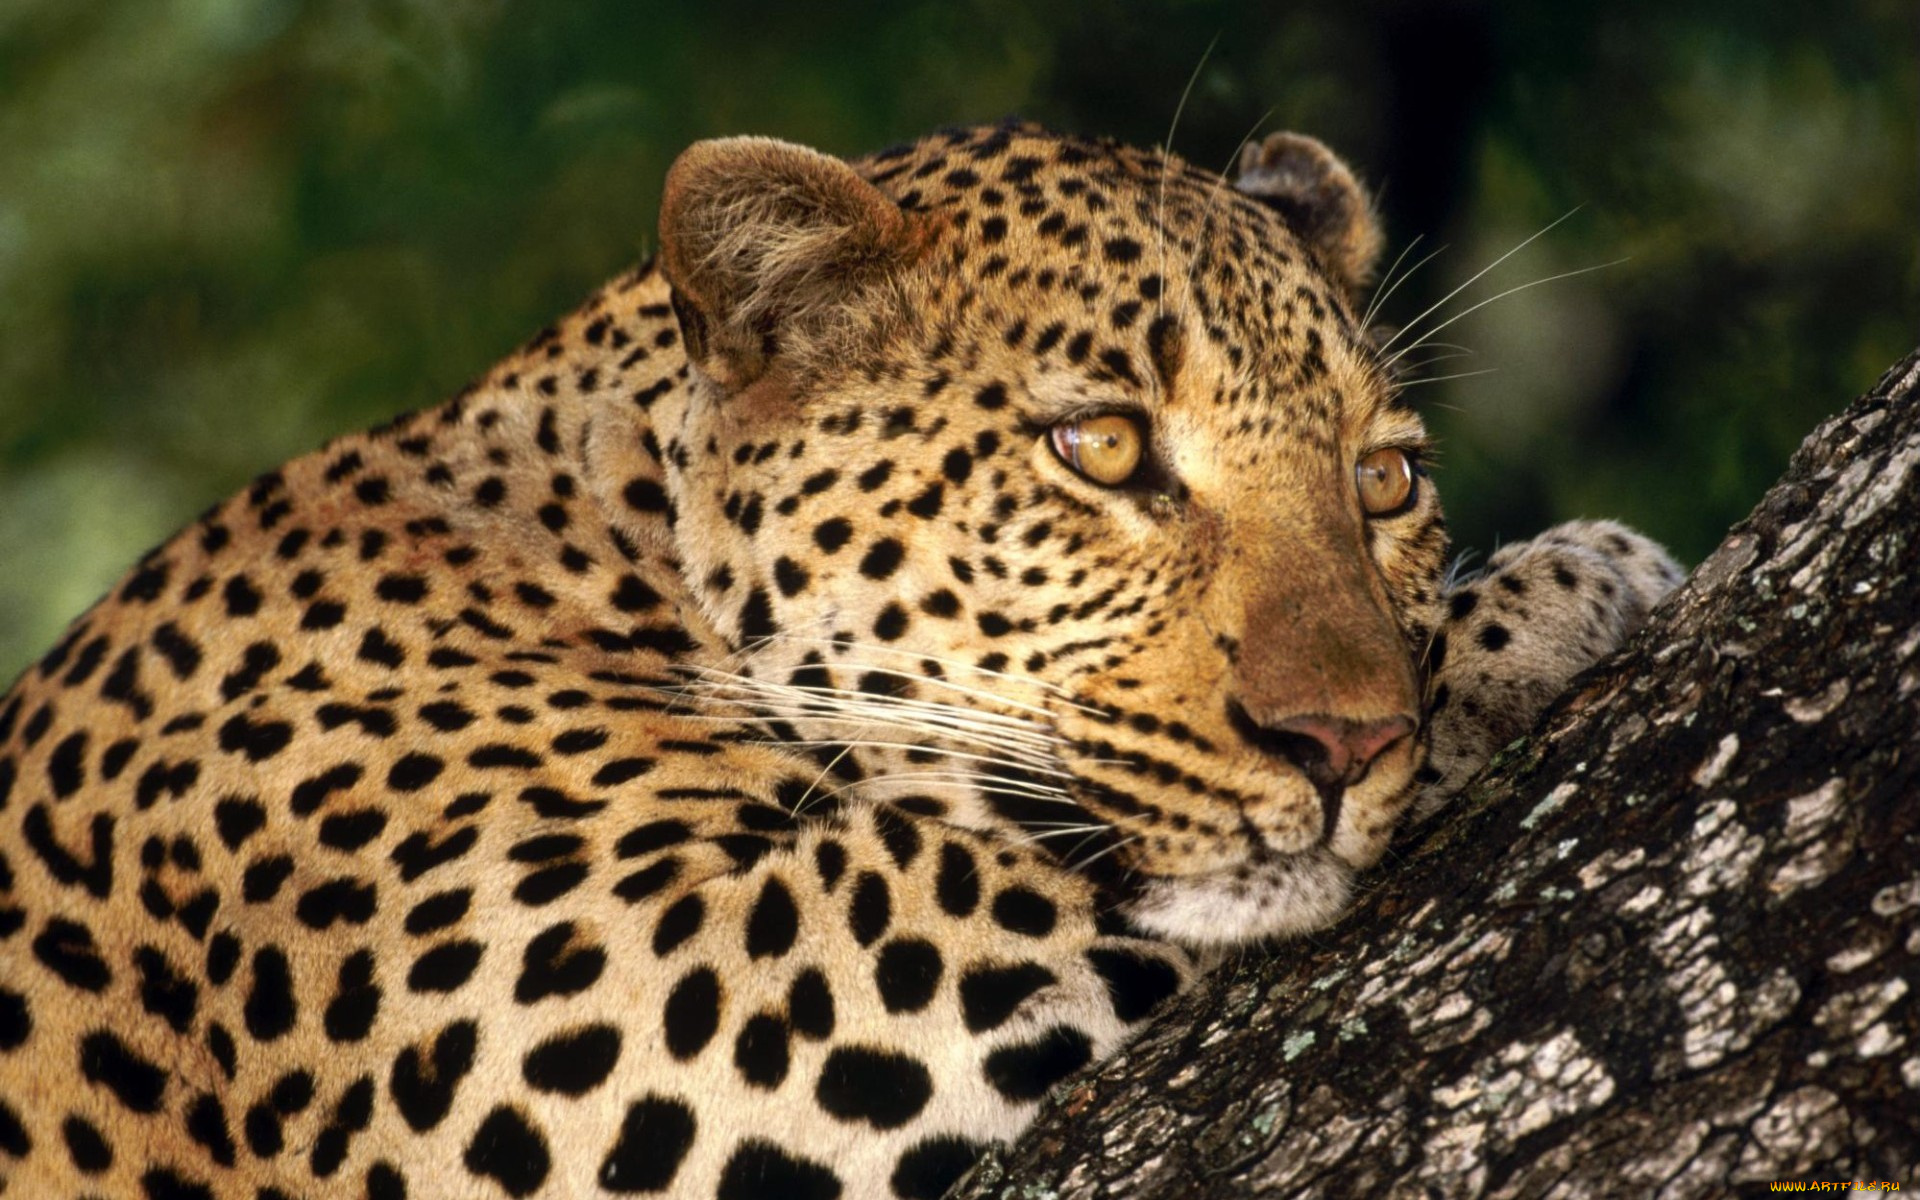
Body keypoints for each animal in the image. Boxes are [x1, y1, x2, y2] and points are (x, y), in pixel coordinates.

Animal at [0, 120, 1682, 1200]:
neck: (599, 538)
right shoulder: (624, 1005)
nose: (1345, 743)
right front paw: (1562, 590)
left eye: (1384, 480)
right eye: (1102, 445)